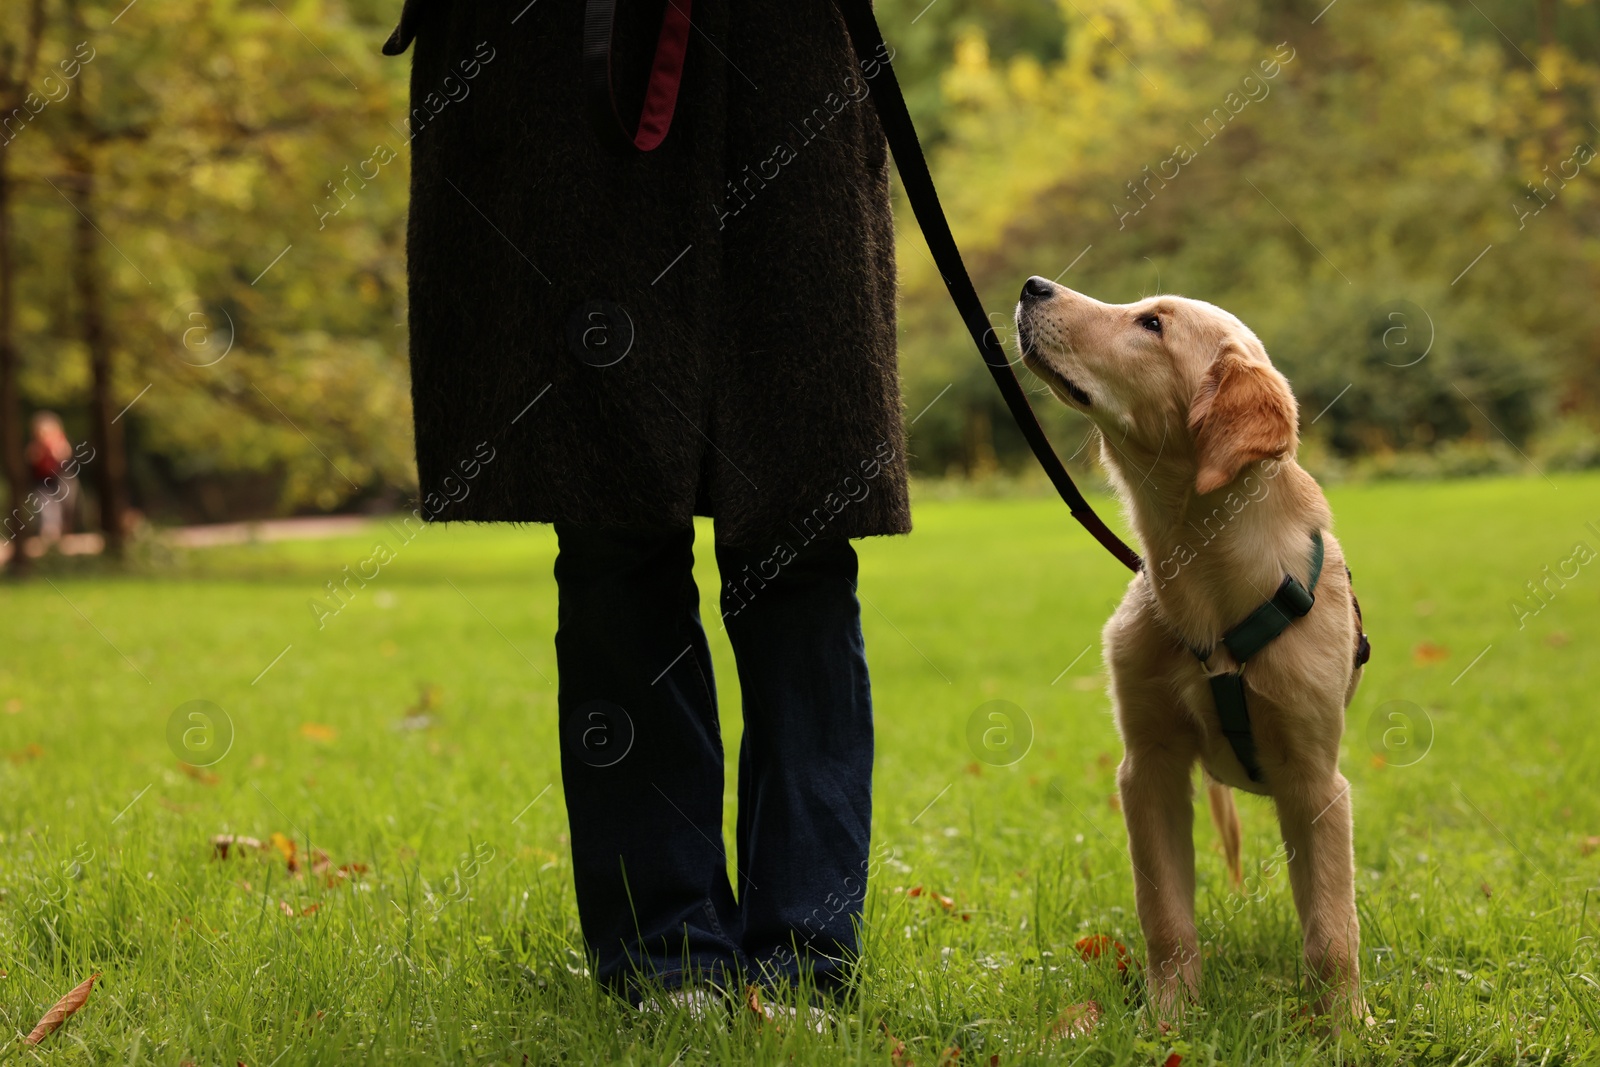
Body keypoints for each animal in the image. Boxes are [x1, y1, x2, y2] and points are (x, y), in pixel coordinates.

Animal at [1017, 275, 1369, 1023]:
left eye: (1151, 324)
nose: (1033, 286)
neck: (1206, 578)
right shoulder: (1149, 765)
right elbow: (1166, 914)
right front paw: (1170, 1017)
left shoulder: (1316, 780)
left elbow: (1331, 928)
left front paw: (1345, 1027)